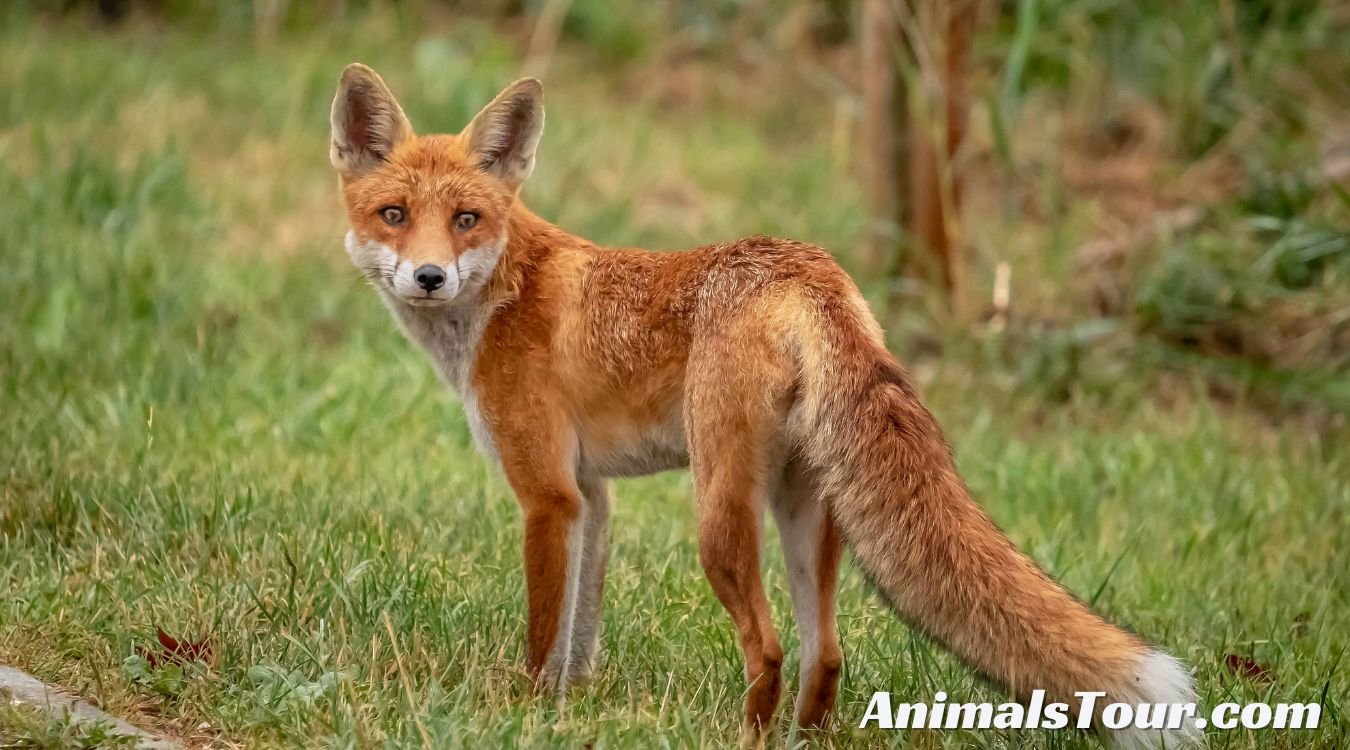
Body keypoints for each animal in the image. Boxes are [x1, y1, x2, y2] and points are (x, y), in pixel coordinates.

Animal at [328, 63, 1200, 749]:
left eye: (466, 219)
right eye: (394, 216)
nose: (430, 277)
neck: (501, 295)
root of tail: (807, 267)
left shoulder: (547, 494)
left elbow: (546, 635)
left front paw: (530, 713)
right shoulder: (592, 495)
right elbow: (581, 632)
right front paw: (571, 710)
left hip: (719, 516)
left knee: (771, 650)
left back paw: (746, 735)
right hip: (805, 511)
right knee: (827, 655)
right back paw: (804, 736)